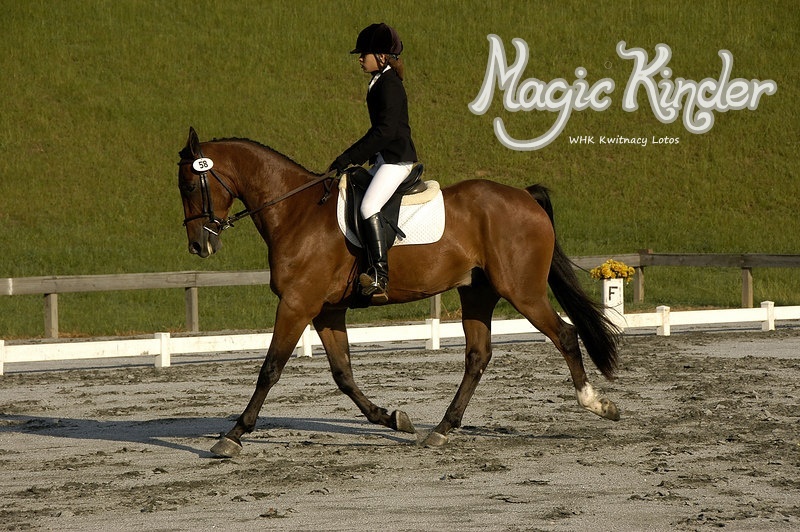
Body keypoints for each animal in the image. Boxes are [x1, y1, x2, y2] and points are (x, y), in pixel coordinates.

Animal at [176, 127, 621, 458]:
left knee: (565, 335)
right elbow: (343, 374)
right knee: (477, 357)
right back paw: (441, 429)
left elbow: (270, 369)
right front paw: (392, 418)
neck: (295, 212)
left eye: (189, 185)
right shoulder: (326, 310)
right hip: (478, 294)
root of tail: (525, 196)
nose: (199, 245)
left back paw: (597, 404)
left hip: (522, 292)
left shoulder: (297, 304)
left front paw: (233, 435)